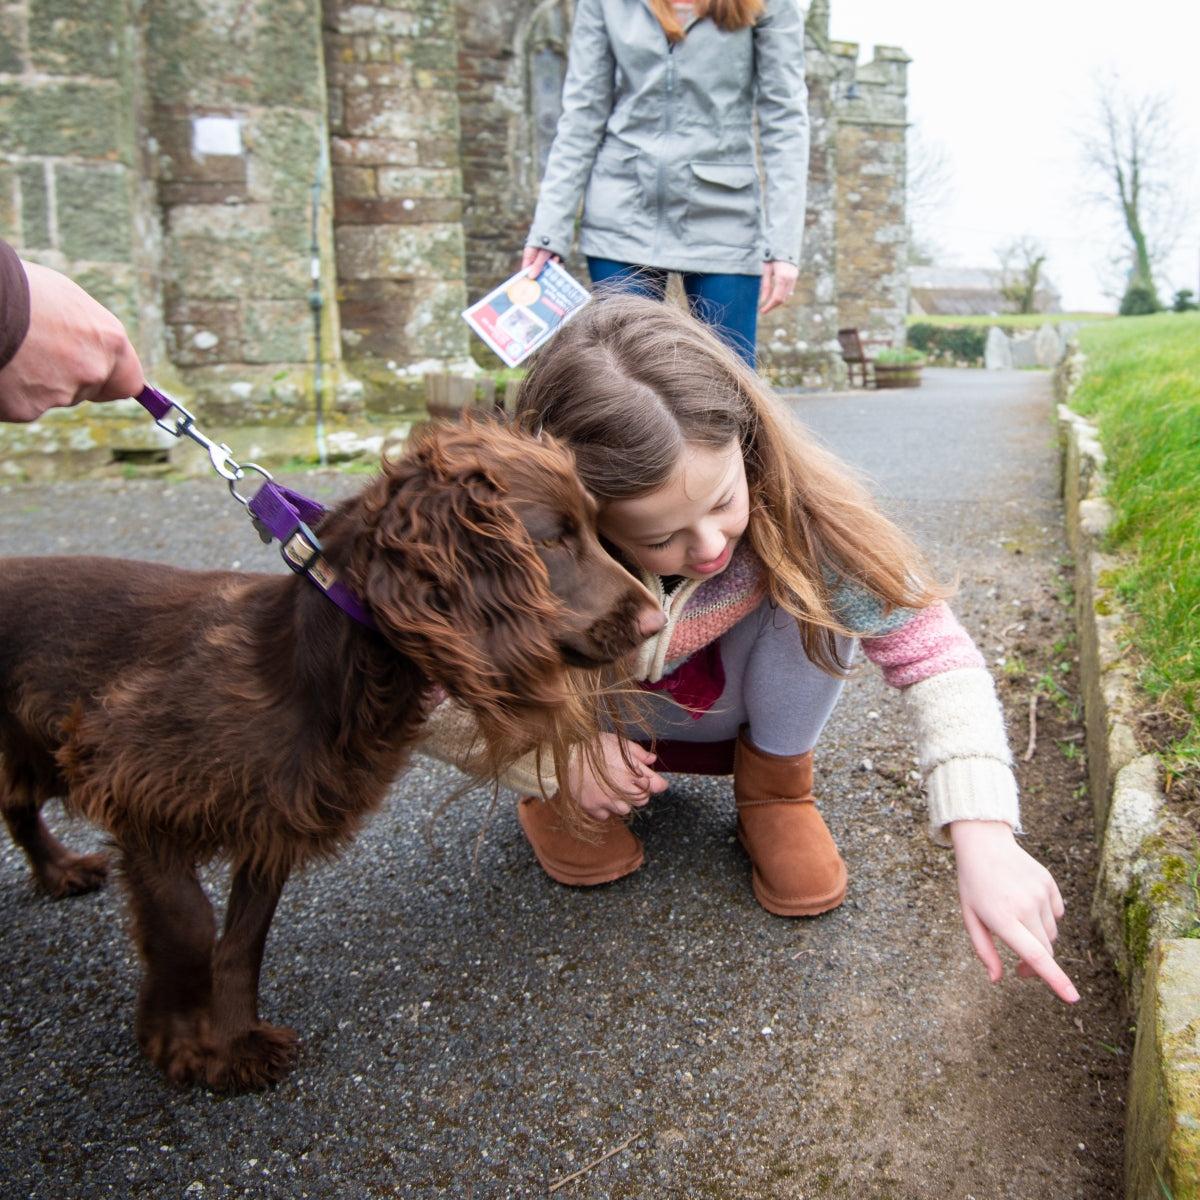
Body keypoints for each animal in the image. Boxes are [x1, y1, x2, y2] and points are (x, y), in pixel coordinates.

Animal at [0, 417, 662, 1094]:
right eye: (552, 539)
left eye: (594, 529)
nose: (656, 624)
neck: (314, 665)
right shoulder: (135, 783)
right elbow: (190, 925)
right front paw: (178, 1040)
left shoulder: (275, 820)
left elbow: (242, 941)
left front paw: (232, 1042)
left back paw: (58, 872)